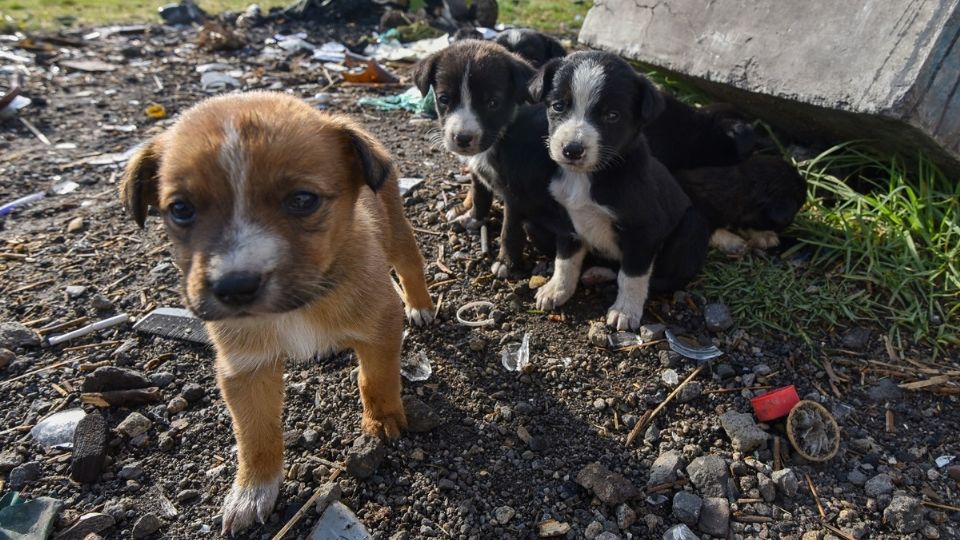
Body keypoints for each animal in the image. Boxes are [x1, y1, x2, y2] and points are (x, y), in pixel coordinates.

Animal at [119, 90, 436, 532]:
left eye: (303, 200)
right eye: (181, 209)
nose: (235, 287)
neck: (299, 304)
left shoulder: (380, 325)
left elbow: (376, 380)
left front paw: (382, 421)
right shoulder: (244, 368)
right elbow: (255, 435)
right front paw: (253, 491)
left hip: (397, 231)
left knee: (411, 265)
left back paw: (421, 305)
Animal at [414, 40, 576, 276]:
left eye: (492, 103)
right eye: (444, 99)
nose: (462, 138)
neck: (504, 131)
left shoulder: (517, 194)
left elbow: (510, 229)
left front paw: (506, 262)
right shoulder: (478, 172)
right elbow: (480, 196)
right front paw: (473, 218)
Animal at [532, 51, 712, 330]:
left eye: (612, 116)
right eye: (558, 106)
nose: (572, 149)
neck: (587, 177)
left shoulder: (644, 231)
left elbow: (633, 276)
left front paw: (625, 311)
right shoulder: (567, 221)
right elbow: (565, 261)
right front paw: (557, 289)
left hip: (691, 226)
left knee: (665, 279)